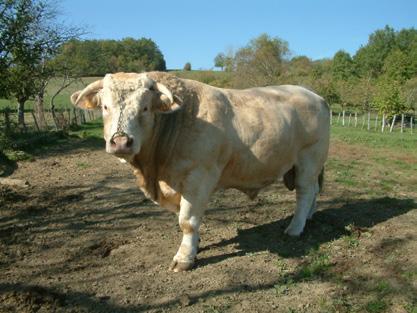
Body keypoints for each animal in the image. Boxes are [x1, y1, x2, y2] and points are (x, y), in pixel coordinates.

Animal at [72, 72, 332, 270]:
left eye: (144, 108)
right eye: (105, 107)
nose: (121, 141)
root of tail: (315, 95)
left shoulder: (198, 178)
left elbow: (187, 220)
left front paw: (184, 258)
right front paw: (195, 246)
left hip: (309, 159)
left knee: (305, 192)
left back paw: (295, 228)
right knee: (314, 191)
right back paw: (309, 217)